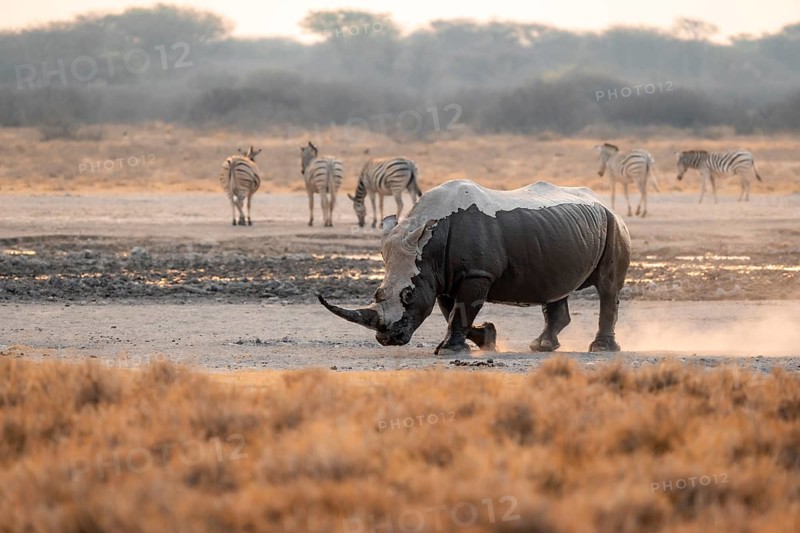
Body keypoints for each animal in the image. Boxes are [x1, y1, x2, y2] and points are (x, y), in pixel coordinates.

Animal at [318, 180, 631, 355]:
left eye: (408, 295)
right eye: (376, 293)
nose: (387, 339)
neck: (427, 248)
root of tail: (602, 202)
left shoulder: (475, 274)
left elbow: (461, 310)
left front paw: (448, 351)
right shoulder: (441, 276)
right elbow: (452, 312)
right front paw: (487, 339)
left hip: (614, 224)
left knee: (607, 287)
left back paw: (600, 349)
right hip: (563, 232)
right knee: (555, 288)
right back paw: (542, 346)